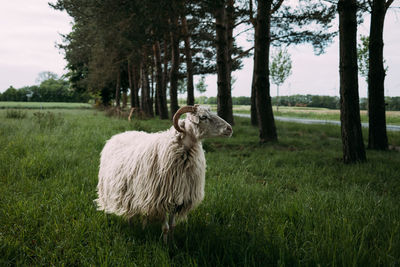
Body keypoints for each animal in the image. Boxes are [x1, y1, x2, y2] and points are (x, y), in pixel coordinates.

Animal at [94, 104, 231, 243]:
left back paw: (141, 227)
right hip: (112, 190)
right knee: (121, 211)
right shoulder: (161, 200)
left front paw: (172, 243)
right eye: (203, 117)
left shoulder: (177, 198)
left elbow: (172, 226)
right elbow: (165, 227)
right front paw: (165, 245)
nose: (229, 129)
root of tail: (117, 135)